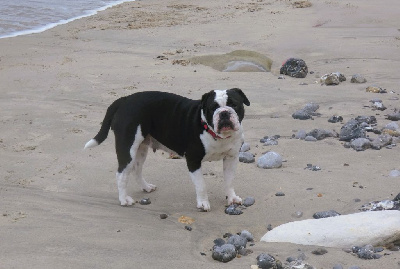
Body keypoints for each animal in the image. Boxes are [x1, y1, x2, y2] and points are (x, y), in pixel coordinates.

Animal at [85, 88, 250, 209]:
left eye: (234, 104)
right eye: (212, 108)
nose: (224, 113)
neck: (217, 135)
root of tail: (125, 99)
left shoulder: (231, 158)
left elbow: (229, 181)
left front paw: (232, 198)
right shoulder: (194, 161)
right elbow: (201, 185)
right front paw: (203, 203)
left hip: (141, 148)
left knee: (137, 169)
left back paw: (146, 187)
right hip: (128, 147)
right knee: (122, 174)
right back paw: (124, 199)